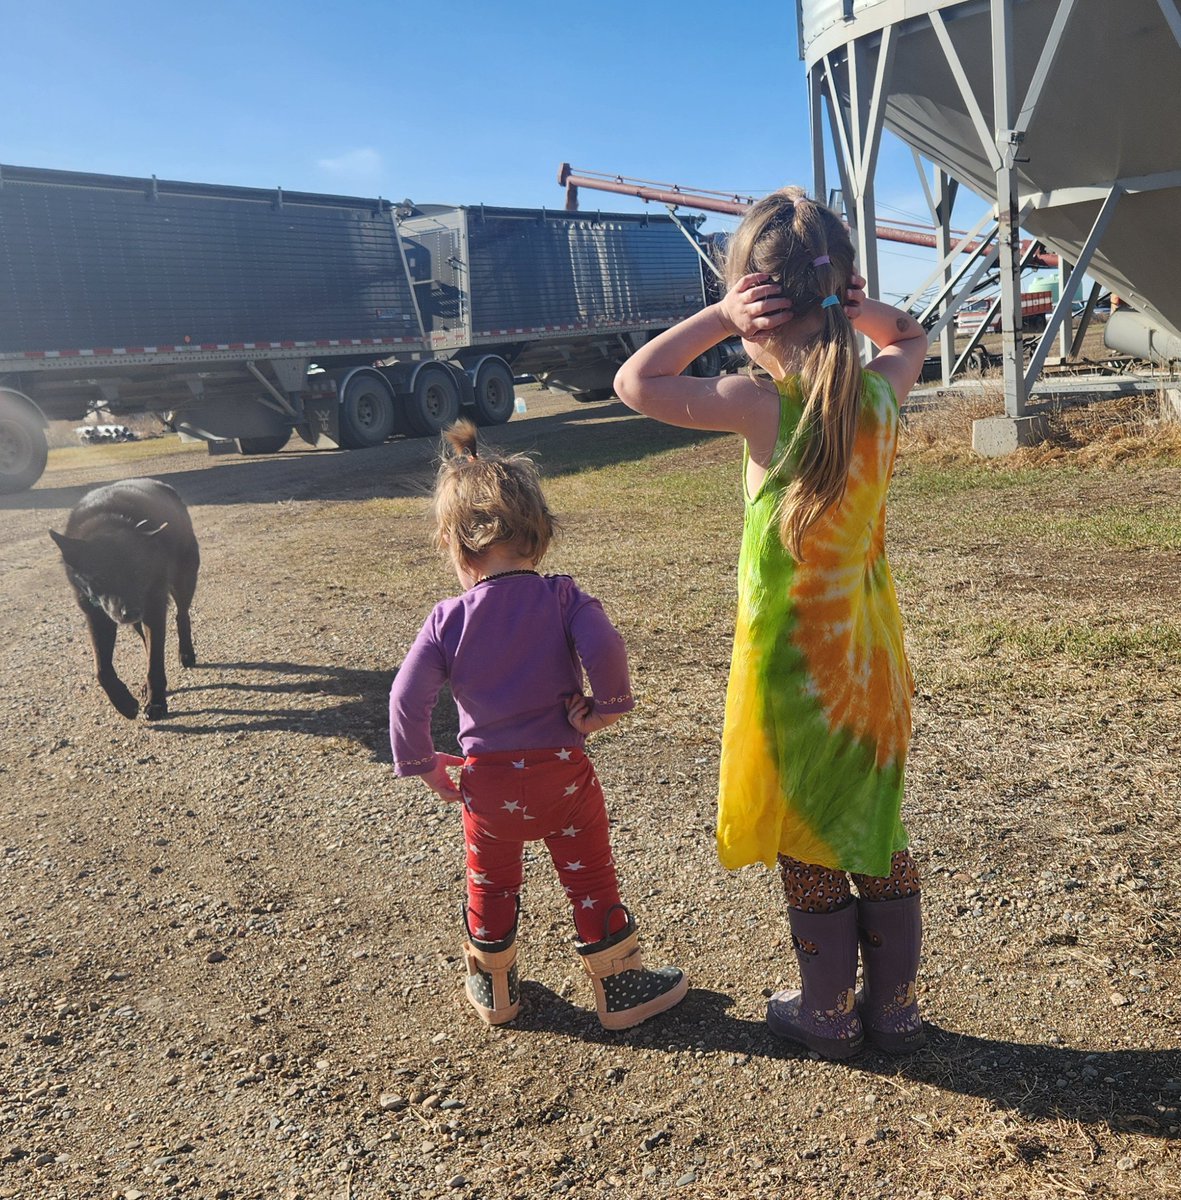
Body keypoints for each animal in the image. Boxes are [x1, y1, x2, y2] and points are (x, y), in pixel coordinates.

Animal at [50, 477, 201, 720]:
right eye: (101, 577)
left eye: (139, 572)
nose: (130, 612)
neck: (106, 519)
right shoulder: (97, 615)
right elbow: (102, 669)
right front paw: (124, 702)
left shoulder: (153, 608)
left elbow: (155, 663)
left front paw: (156, 703)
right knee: (147, 641)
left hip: (184, 580)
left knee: (182, 615)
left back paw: (186, 653)